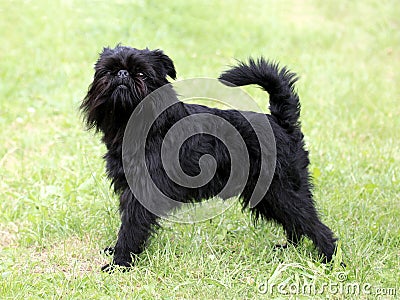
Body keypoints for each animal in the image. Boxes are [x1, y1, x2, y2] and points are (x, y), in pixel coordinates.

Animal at [81, 45, 338, 272]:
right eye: (108, 71)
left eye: (142, 73)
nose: (123, 74)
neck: (138, 124)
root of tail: (281, 123)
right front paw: (119, 254)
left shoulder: (143, 192)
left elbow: (131, 227)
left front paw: (121, 262)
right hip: (269, 195)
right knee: (296, 223)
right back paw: (290, 249)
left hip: (281, 190)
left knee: (312, 224)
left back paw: (330, 258)